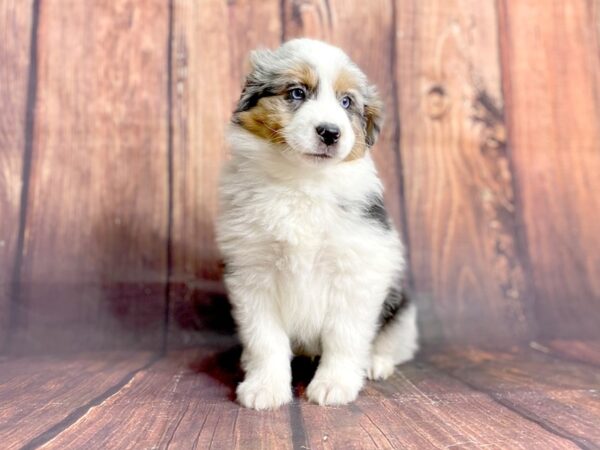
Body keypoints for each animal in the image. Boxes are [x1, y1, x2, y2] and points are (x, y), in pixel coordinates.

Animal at [216, 39, 418, 412]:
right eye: (297, 92)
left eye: (346, 102)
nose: (330, 132)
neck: (302, 182)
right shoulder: (253, 274)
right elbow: (265, 339)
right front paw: (265, 387)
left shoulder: (356, 271)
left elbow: (344, 336)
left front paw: (334, 385)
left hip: (401, 309)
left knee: (394, 344)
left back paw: (375, 363)